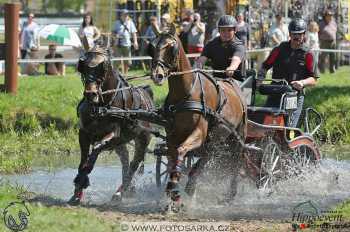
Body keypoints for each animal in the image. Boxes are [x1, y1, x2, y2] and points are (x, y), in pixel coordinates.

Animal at [68, 45, 154, 205]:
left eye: (103, 68)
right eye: (84, 66)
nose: (90, 94)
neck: (101, 107)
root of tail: (147, 95)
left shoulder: (113, 135)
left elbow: (95, 150)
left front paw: (83, 179)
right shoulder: (83, 133)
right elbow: (83, 161)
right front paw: (77, 191)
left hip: (142, 139)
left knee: (134, 164)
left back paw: (120, 192)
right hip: (121, 143)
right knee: (125, 161)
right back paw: (126, 189)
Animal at [149, 24, 247, 210]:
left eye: (171, 47)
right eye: (152, 47)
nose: (157, 75)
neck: (186, 92)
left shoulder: (199, 134)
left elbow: (181, 151)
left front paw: (174, 187)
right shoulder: (172, 136)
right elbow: (173, 158)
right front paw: (173, 194)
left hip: (236, 138)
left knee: (235, 162)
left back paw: (229, 195)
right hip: (215, 139)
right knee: (205, 157)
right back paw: (191, 184)